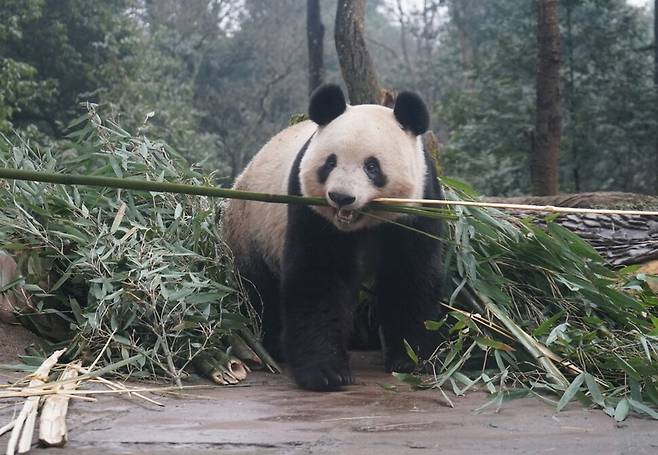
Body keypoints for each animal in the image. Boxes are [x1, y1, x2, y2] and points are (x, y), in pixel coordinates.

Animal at [223, 83, 444, 390]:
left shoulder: (418, 208)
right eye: (330, 163)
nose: (341, 197)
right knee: (260, 293)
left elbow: (410, 278)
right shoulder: (310, 211)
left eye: (372, 166)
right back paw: (272, 346)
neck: (363, 223)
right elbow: (318, 278)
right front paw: (325, 373)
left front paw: (411, 359)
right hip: (252, 232)